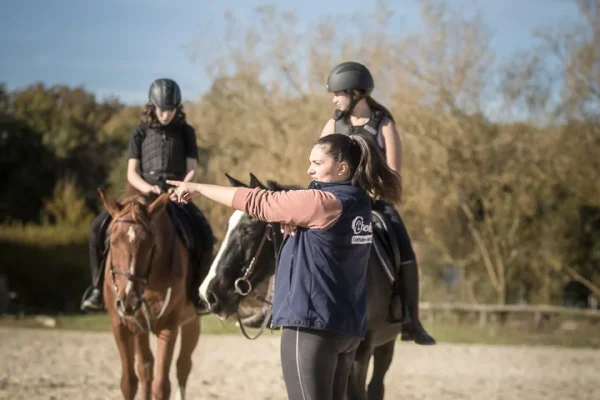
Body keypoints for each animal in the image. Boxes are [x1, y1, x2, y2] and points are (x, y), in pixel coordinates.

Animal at [98, 188, 202, 400]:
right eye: (112, 240)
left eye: (151, 244)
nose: (128, 299)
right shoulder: (121, 325)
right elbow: (129, 382)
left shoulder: (169, 326)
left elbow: (161, 386)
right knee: (145, 368)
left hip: (192, 322)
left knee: (183, 366)